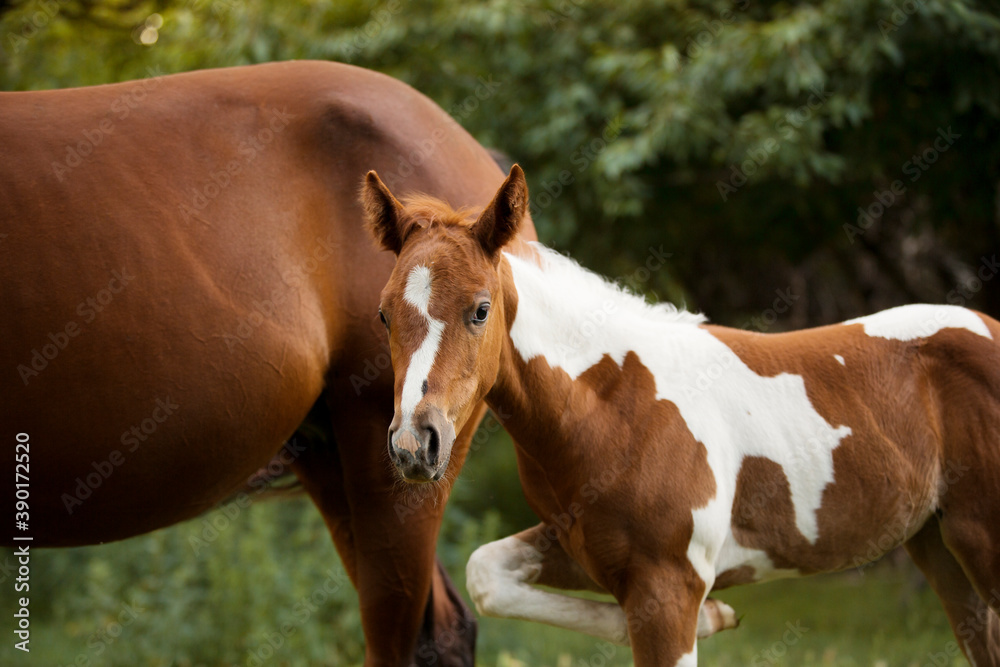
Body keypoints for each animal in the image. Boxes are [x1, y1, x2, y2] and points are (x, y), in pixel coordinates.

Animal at [363, 164, 1000, 666]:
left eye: (480, 309)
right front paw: (717, 616)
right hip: (938, 544)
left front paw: (713, 616)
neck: (616, 407)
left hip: (980, 542)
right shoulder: (589, 552)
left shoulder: (668, 585)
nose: (414, 445)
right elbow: (485, 571)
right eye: (384, 314)